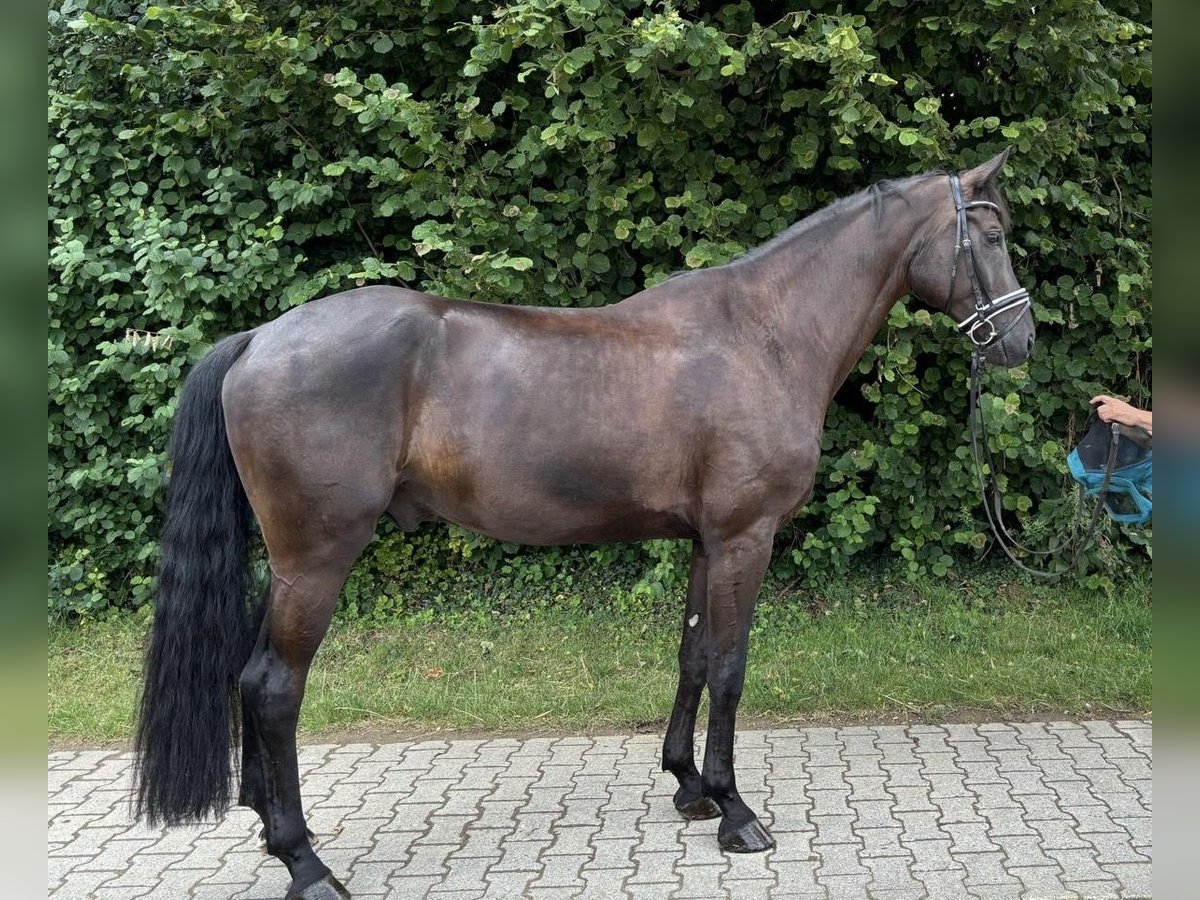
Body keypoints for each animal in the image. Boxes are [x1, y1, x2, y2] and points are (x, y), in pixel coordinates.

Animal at [133, 148, 1035, 899]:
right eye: (989, 236)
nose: (1020, 340)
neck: (764, 334)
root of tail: (260, 339)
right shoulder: (746, 537)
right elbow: (731, 667)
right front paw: (737, 812)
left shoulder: (706, 542)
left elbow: (693, 657)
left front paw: (688, 788)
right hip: (318, 559)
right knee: (273, 687)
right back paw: (306, 864)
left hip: (286, 564)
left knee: (249, 677)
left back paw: (271, 829)